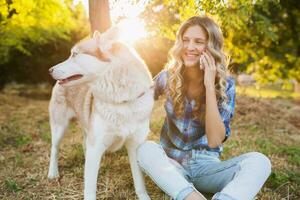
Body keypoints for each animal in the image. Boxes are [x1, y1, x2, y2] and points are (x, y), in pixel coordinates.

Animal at [48, 27, 155, 200]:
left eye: (74, 54)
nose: (49, 70)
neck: (122, 100)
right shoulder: (96, 145)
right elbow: (90, 187)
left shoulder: (135, 146)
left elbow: (139, 181)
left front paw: (143, 196)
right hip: (60, 127)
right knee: (54, 149)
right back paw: (52, 173)